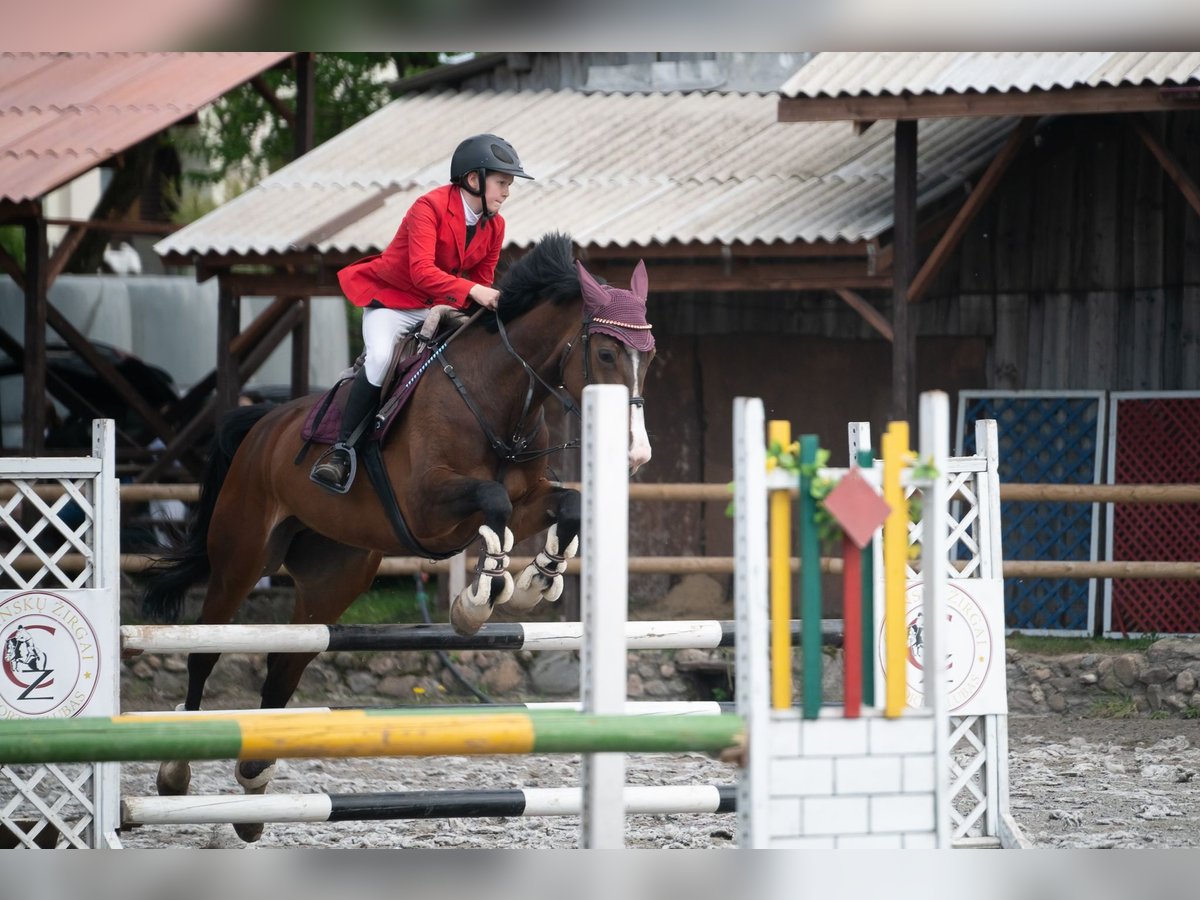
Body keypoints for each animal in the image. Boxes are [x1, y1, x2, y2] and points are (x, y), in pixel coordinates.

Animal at [138, 230, 657, 840]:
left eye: (649, 354)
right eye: (606, 354)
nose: (636, 455)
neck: (498, 397)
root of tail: (260, 425)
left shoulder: (530, 500)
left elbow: (563, 505)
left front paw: (535, 581)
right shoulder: (429, 505)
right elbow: (494, 502)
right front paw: (479, 600)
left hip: (333, 578)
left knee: (285, 666)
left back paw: (254, 784)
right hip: (241, 559)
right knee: (206, 650)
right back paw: (175, 771)